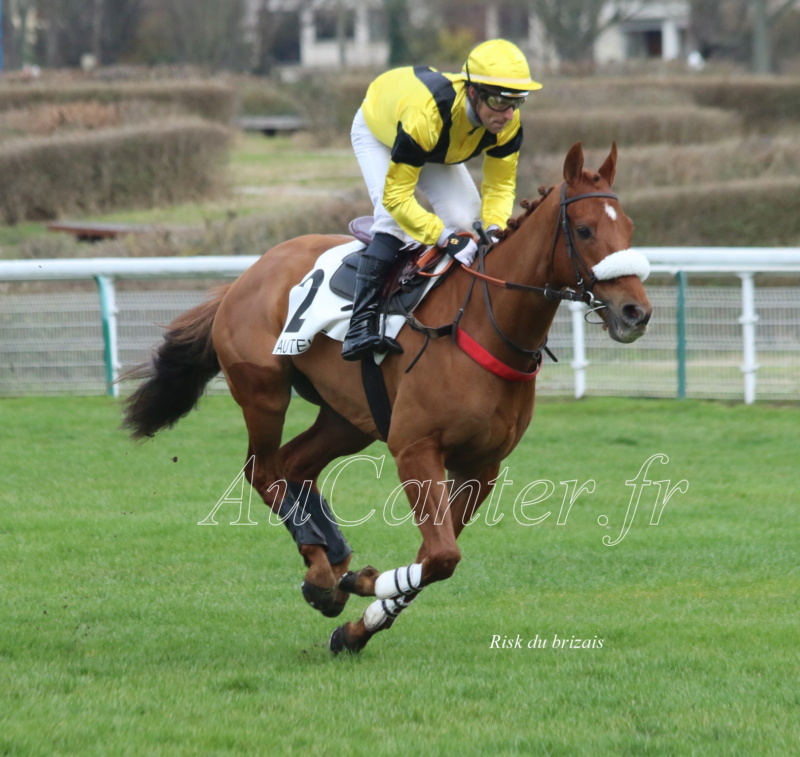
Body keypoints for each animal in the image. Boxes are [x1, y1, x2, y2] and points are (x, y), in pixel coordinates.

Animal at [123, 143, 648, 656]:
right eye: (584, 229)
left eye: (628, 227)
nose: (635, 312)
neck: (484, 323)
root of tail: (248, 274)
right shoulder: (415, 448)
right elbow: (442, 555)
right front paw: (364, 584)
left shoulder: (481, 467)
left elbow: (433, 557)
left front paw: (359, 625)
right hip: (263, 391)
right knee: (263, 469)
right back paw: (323, 569)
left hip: (348, 418)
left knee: (295, 465)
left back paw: (330, 559)